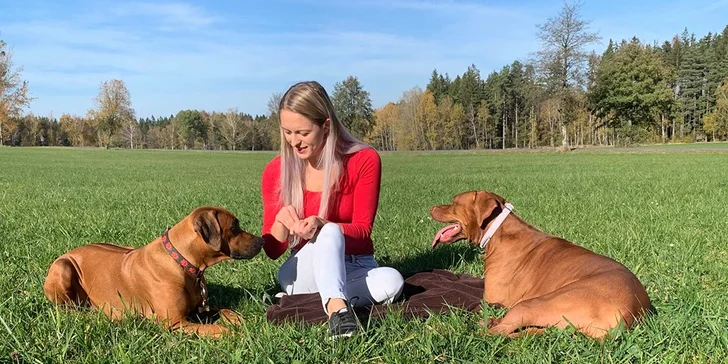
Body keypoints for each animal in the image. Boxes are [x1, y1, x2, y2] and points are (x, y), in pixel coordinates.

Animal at [43, 206, 264, 336]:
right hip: (63, 267)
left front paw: (238, 319)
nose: (262, 240)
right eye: (234, 228)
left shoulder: (199, 308)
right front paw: (230, 332)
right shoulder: (174, 322)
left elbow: (224, 309)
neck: (182, 262)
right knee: (69, 309)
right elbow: (212, 329)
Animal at [430, 191, 652, 338]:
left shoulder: (491, 298)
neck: (498, 232)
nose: (431, 207)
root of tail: (628, 314)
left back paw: (446, 329)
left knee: (492, 332)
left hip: (533, 304)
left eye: (454, 202)